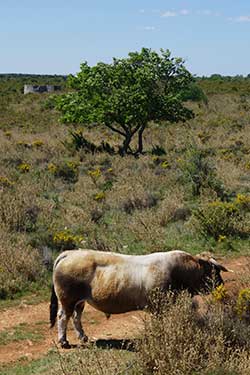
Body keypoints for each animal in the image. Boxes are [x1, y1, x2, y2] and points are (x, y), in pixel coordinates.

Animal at [49, 250, 229, 350]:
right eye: (214, 270)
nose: (221, 284)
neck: (178, 271)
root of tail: (70, 253)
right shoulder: (159, 305)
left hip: (79, 301)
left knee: (76, 317)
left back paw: (83, 337)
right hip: (68, 299)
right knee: (63, 317)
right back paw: (64, 341)